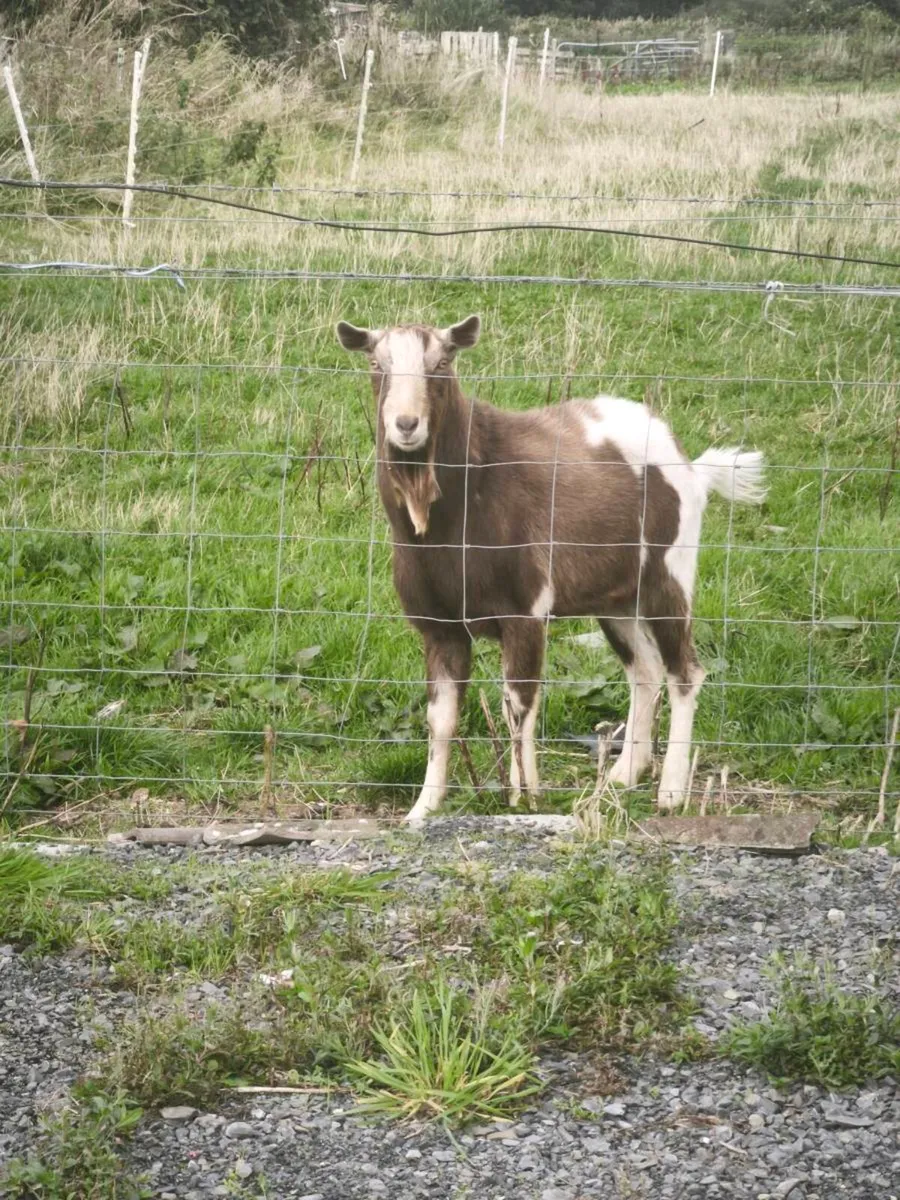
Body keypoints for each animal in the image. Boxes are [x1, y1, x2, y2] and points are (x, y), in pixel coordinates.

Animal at [336, 315, 766, 822]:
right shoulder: (439, 626)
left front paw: (523, 797)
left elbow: (518, 706)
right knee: (645, 669)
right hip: (615, 598)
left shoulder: (525, 611)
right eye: (375, 363)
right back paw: (622, 776)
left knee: (685, 671)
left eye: (442, 363)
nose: (406, 424)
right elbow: (440, 720)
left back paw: (671, 792)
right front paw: (422, 809)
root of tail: (691, 468)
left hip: (668, 574)